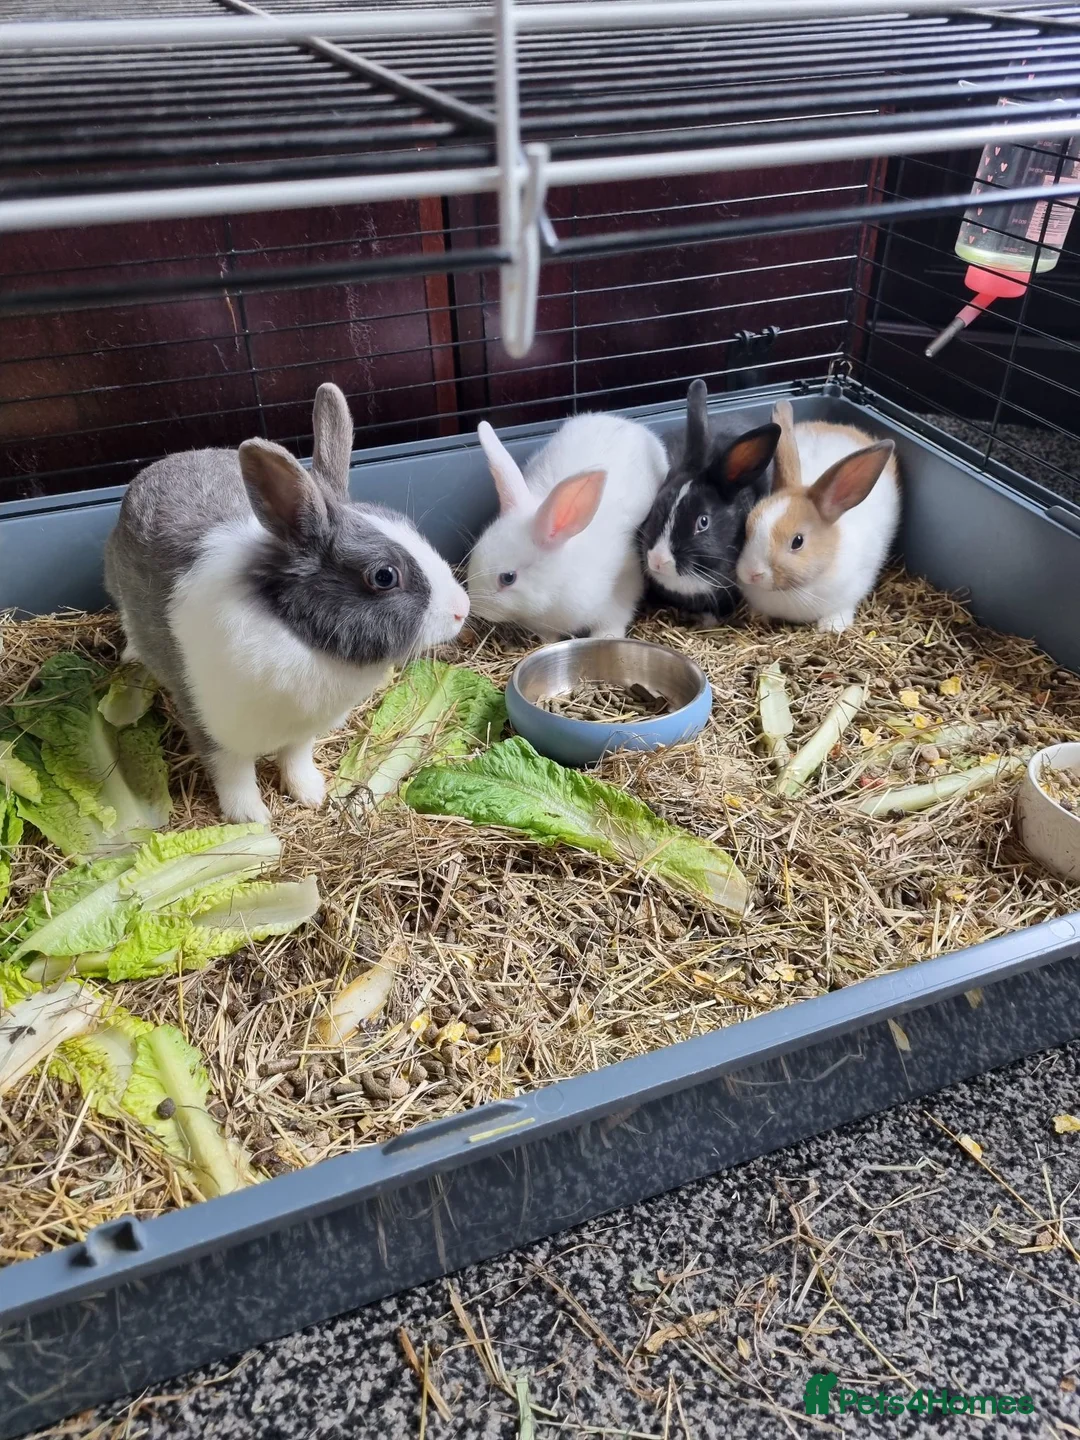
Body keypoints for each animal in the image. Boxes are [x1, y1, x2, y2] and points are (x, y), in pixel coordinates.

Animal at [104, 383, 470, 824]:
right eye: (384, 576)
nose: (462, 610)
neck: (297, 634)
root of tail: (165, 462)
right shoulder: (213, 728)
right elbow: (233, 775)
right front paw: (252, 820)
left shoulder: (301, 732)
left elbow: (295, 758)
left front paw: (311, 794)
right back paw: (131, 655)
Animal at [465, 411, 668, 641]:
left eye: (508, 578)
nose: (478, 610)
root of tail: (621, 420)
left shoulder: (620, 593)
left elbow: (611, 624)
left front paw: (604, 638)